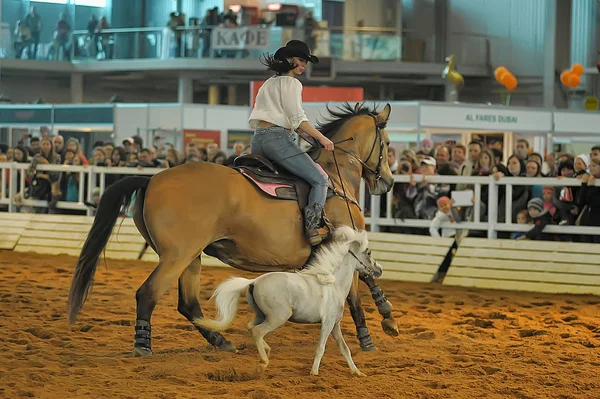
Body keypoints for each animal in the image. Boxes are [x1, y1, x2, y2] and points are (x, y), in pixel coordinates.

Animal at [68, 102, 400, 356]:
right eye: (386, 142)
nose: (388, 181)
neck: (334, 179)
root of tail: (152, 180)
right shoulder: (345, 251)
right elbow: (359, 292)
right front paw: (375, 331)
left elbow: (365, 279)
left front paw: (383, 319)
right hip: (177, 256)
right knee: (148, 294)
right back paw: (143, 345)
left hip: (191, 257)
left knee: (188, 305)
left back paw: (221, 341)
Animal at [195, 227, 382, 376]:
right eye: (368, 253)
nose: (379, 269)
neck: (333, 284)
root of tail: (253, 282)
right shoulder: (327, 323)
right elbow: (321, 347)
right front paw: (314, 372)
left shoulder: (335, 325)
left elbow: (345, 349)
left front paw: (357, 372)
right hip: (278, 317)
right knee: (257, 331)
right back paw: (263, 363)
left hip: (262, 314)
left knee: (250, 327)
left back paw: (267, 350)